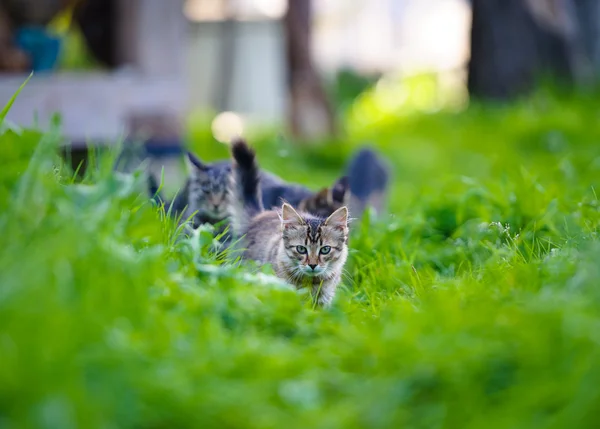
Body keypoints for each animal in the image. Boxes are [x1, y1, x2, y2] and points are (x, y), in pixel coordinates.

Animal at [230, 139, 352, 306]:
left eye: (325, 250)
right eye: (301, 249)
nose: (312, 265)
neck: (310, 283)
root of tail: (260, 215)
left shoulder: (324, 299)